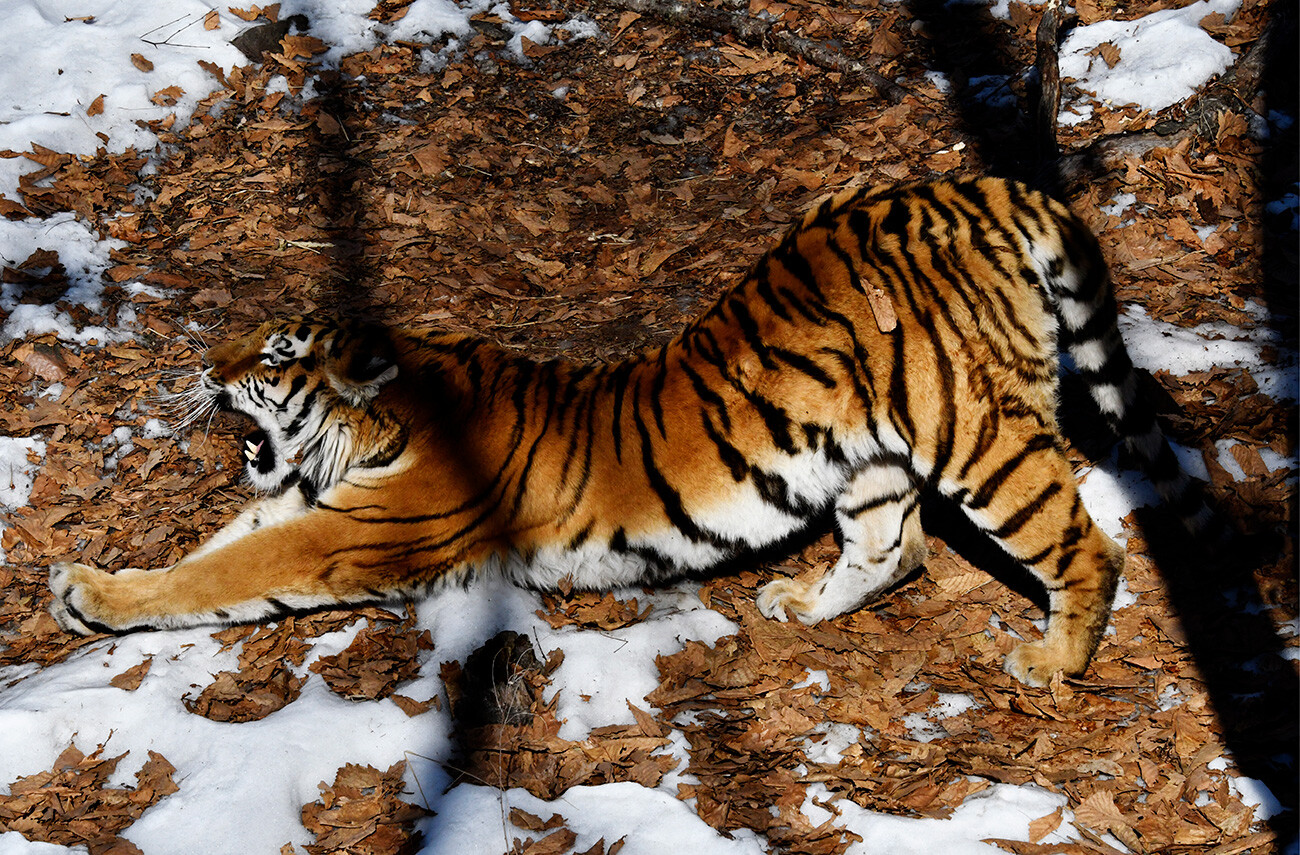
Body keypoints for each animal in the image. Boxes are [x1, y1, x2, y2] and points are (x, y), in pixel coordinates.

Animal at [50, 175, 1206, 686]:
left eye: (276, 356)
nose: (209, 371)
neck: (369, 428)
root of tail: (966, 183)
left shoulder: (351, 531)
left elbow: (224, 572)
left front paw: (90, 595)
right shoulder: (313, 499)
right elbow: (214, 546)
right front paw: (92, 582)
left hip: (978, 433)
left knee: (1084, 546)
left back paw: (1052, 663)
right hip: (874, 455)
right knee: (897, 547)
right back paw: (801, 604)